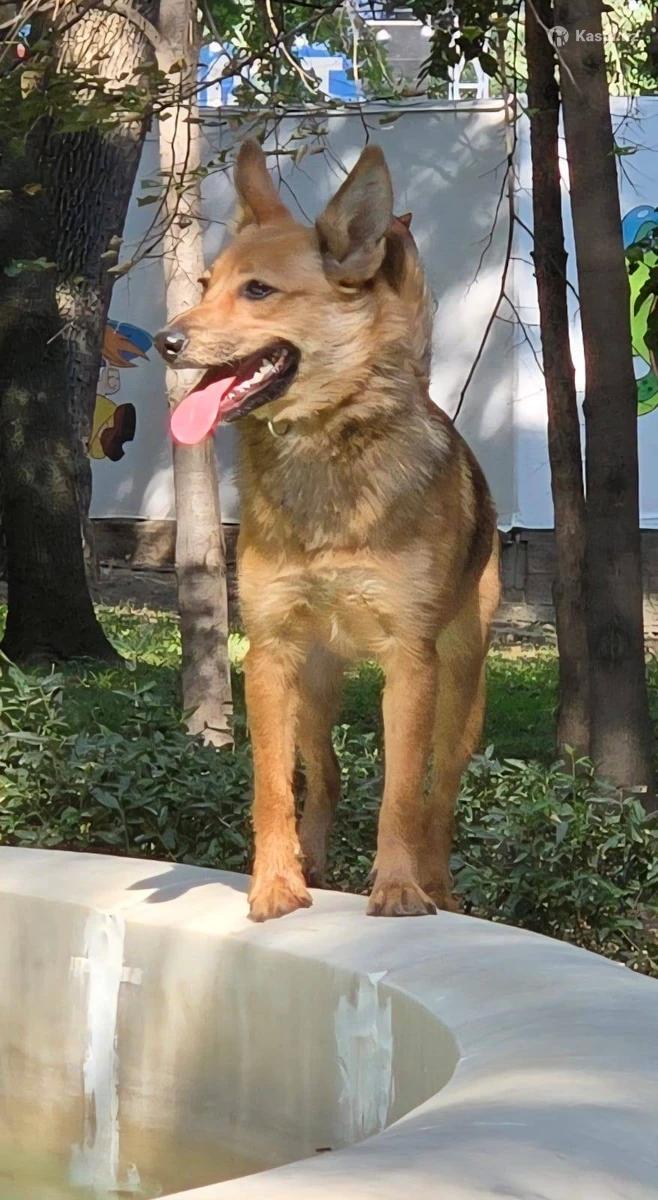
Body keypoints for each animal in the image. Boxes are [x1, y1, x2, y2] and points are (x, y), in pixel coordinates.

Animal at [155, 140, 500, 923]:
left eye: (258, 291)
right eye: (205, 284)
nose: (165, 340)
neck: (322, 446)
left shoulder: (411, 662)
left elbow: (402, 792)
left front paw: (398, 887)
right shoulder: (271, 652)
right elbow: (272, 787)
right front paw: (275, 884)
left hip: (461, 687)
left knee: (441, 792)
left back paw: (437, 884)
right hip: (314, 682)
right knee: (327, 771)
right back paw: (311, 858)